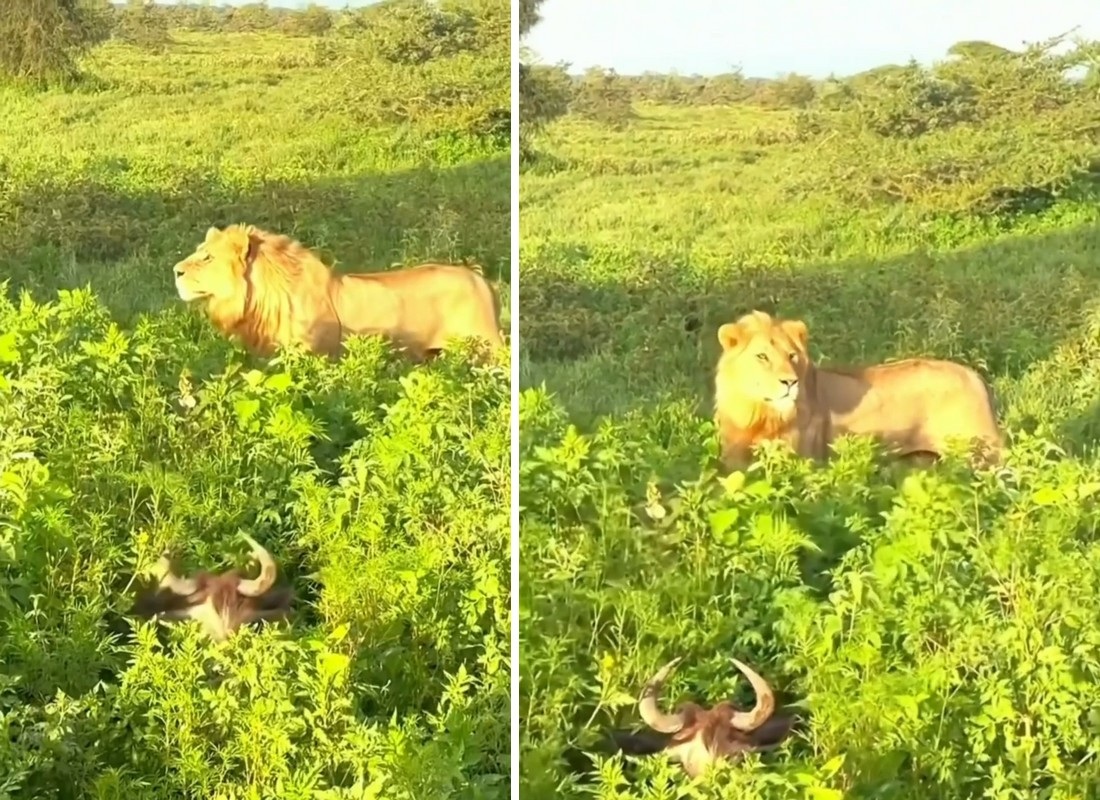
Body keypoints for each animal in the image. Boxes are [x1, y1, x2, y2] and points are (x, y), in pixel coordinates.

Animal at [712, 310, 1007, 473]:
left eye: (792, 356)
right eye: (762, 357)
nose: (790, 382)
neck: (755, 412)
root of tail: (974, 376)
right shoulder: (735, 463)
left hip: (982, 456)